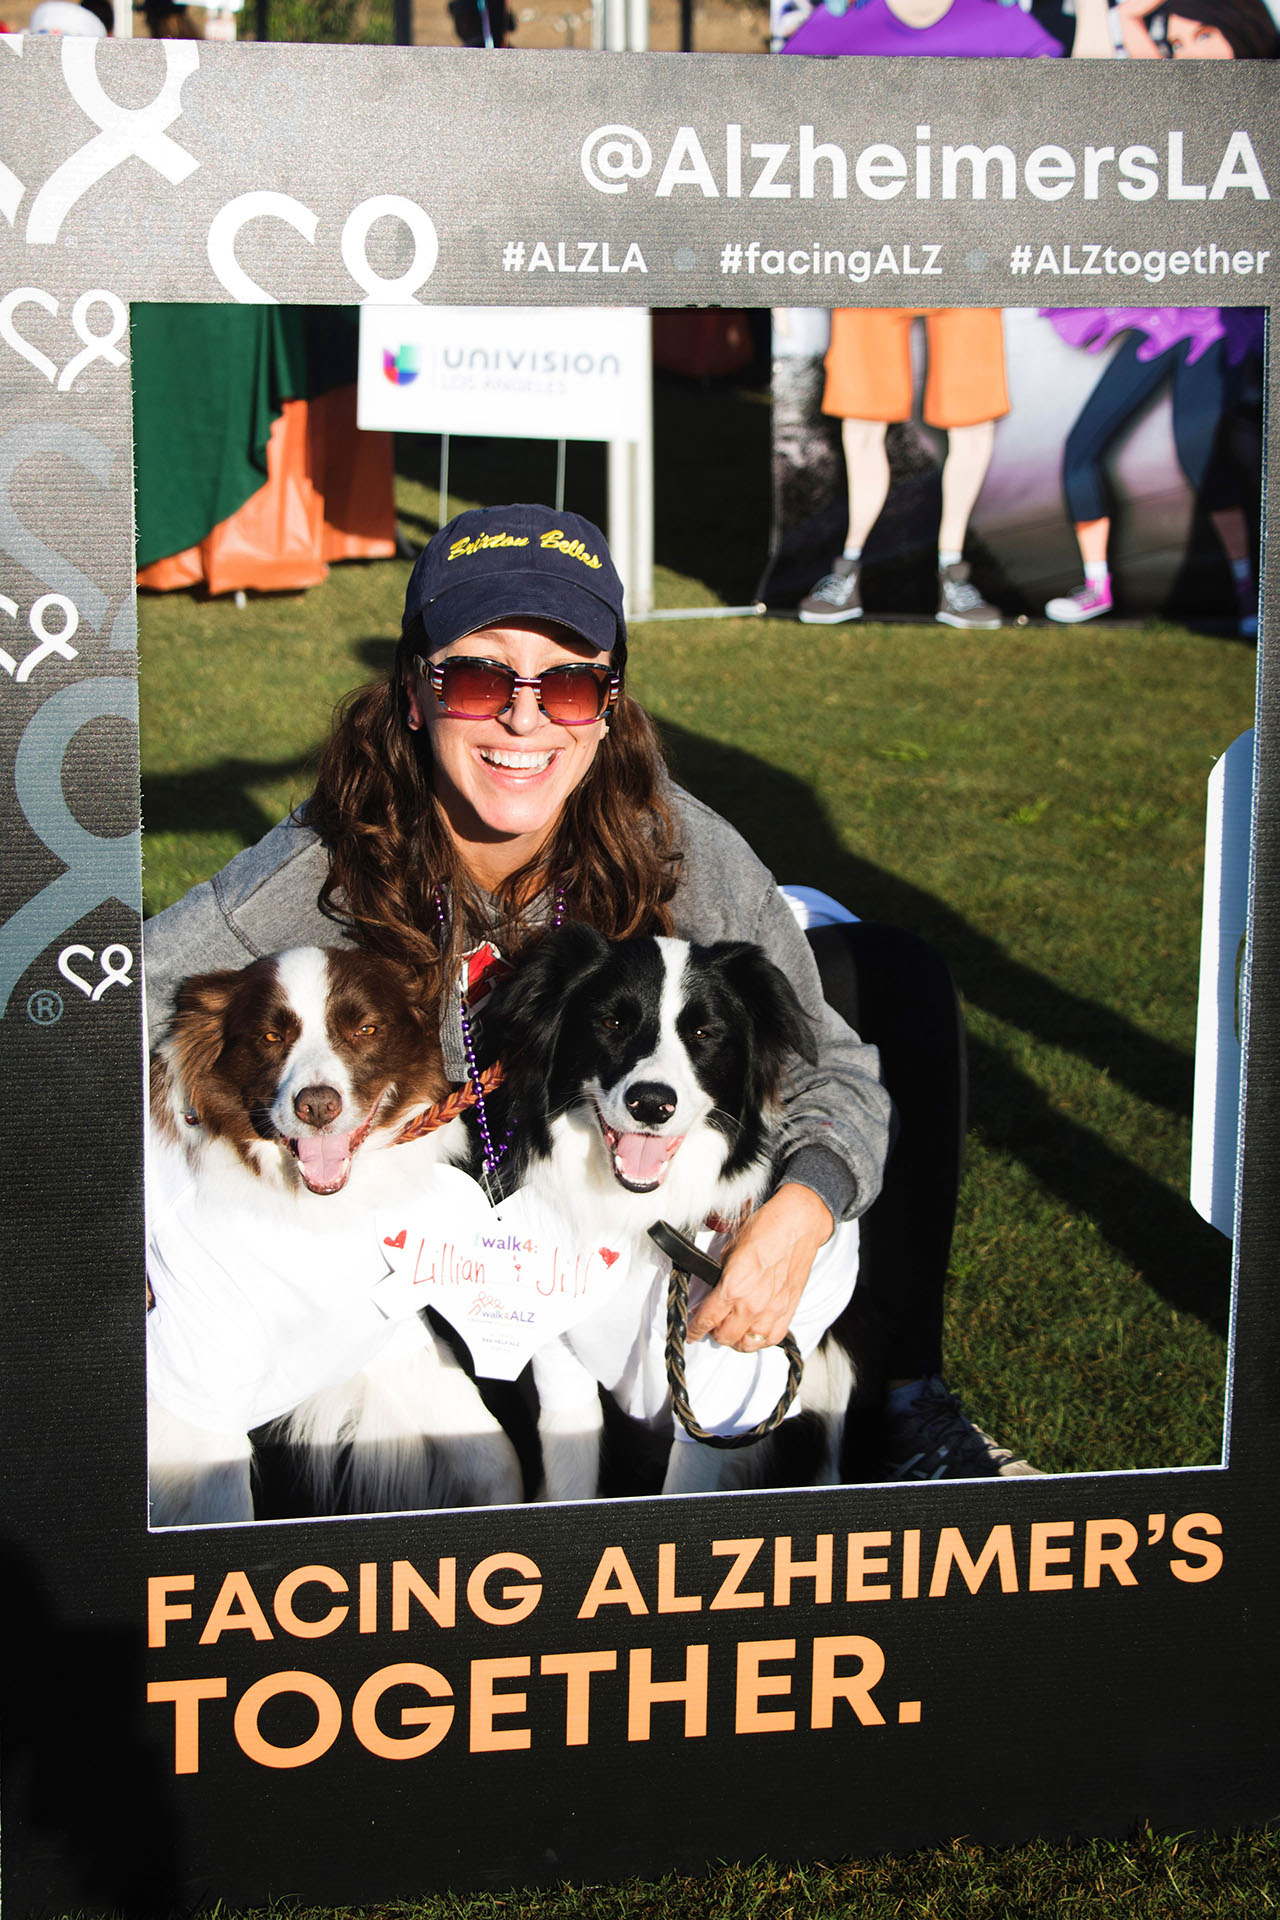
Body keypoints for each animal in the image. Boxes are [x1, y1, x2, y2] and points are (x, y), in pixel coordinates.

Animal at [148, 948, 525, 1528]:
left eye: (365, 1029)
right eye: (270, 1037)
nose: (318, 1106)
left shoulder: (381, 1334)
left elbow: (495, 1456)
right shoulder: (199, 1400)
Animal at [475, 925, 855, 1497]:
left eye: (703, 1033)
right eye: (611, 1022)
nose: (651, 1104)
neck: (640, 1215)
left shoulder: (717, 1407)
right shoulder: (561, 1364)